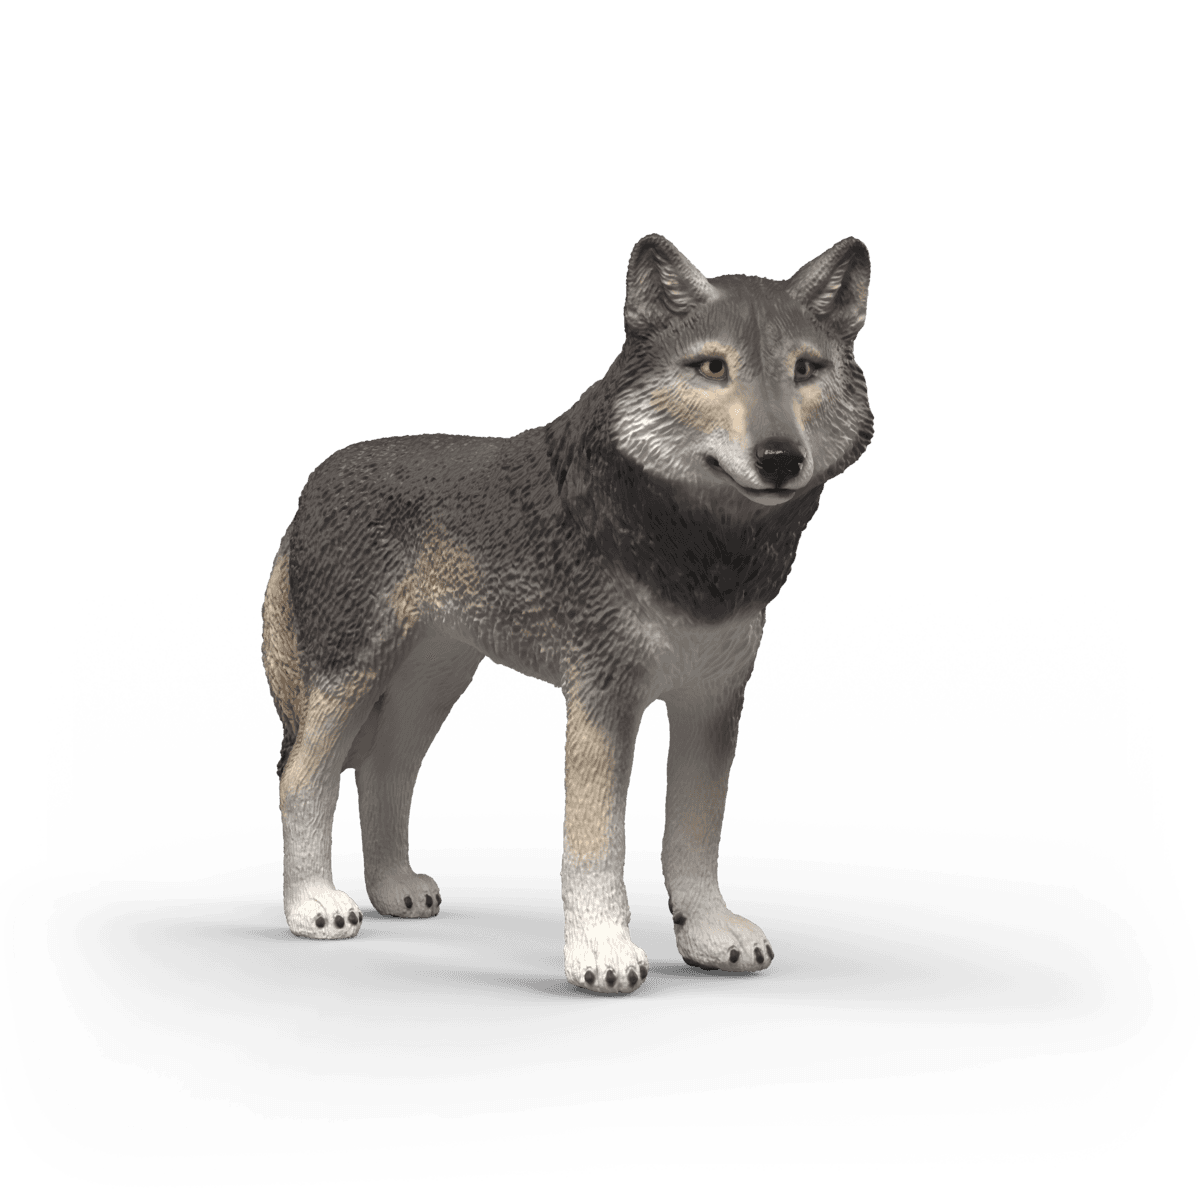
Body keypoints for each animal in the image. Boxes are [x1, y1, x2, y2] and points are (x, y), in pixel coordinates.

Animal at [262, 232, 873, 993]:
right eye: (713, 368)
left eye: (806, 369)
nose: (781, 458)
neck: (700, 549)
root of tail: (313, 481)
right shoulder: (602, 699)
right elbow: (595, 846)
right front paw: (602, 952)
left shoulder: (711, 700)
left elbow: (694, 837)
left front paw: (708, 934)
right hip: (351, 678)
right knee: (301, 779)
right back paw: (314, 905)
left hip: (428, 684)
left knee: (383, 773)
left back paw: (395, 889)